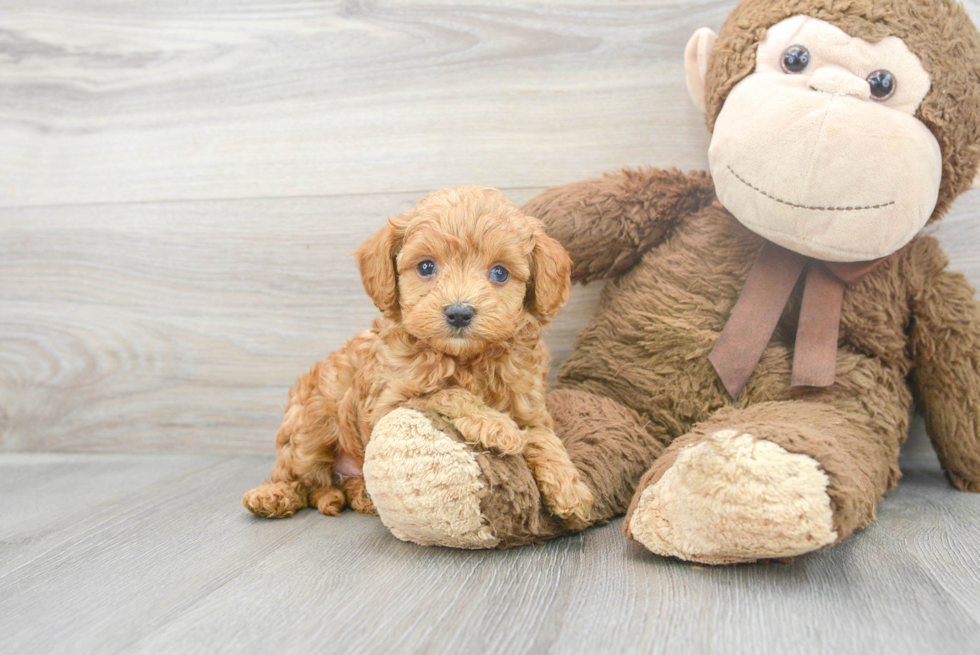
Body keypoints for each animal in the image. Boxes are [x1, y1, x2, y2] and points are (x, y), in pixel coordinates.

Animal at [241, 187, 592, 524]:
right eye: (426, 267)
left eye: (500, 273)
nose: (459, 313)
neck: (466, 359)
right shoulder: (388, 405)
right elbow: (444, 393)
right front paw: (494, 425)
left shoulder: (530, 408)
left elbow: (544, 438)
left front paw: (570, 488)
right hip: (311, 424)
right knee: (299, 477)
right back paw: (272, 496)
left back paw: (362, 495)